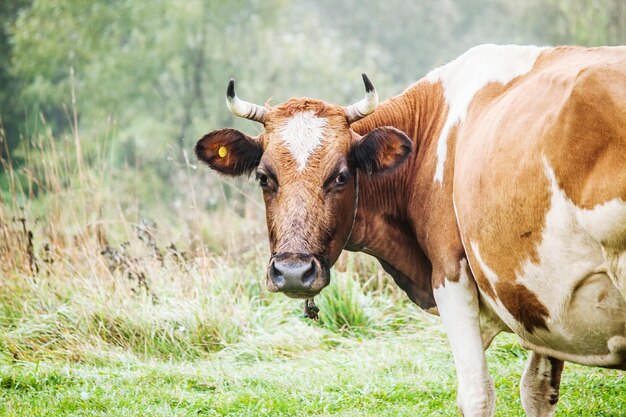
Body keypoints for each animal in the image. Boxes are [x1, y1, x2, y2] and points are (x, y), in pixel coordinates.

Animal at [195, 44, 624, 414]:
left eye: (340, 176)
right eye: (264, 177)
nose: (293, 272)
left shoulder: (451, 275)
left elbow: (477, 394)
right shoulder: (539, 302)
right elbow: (536, 391)